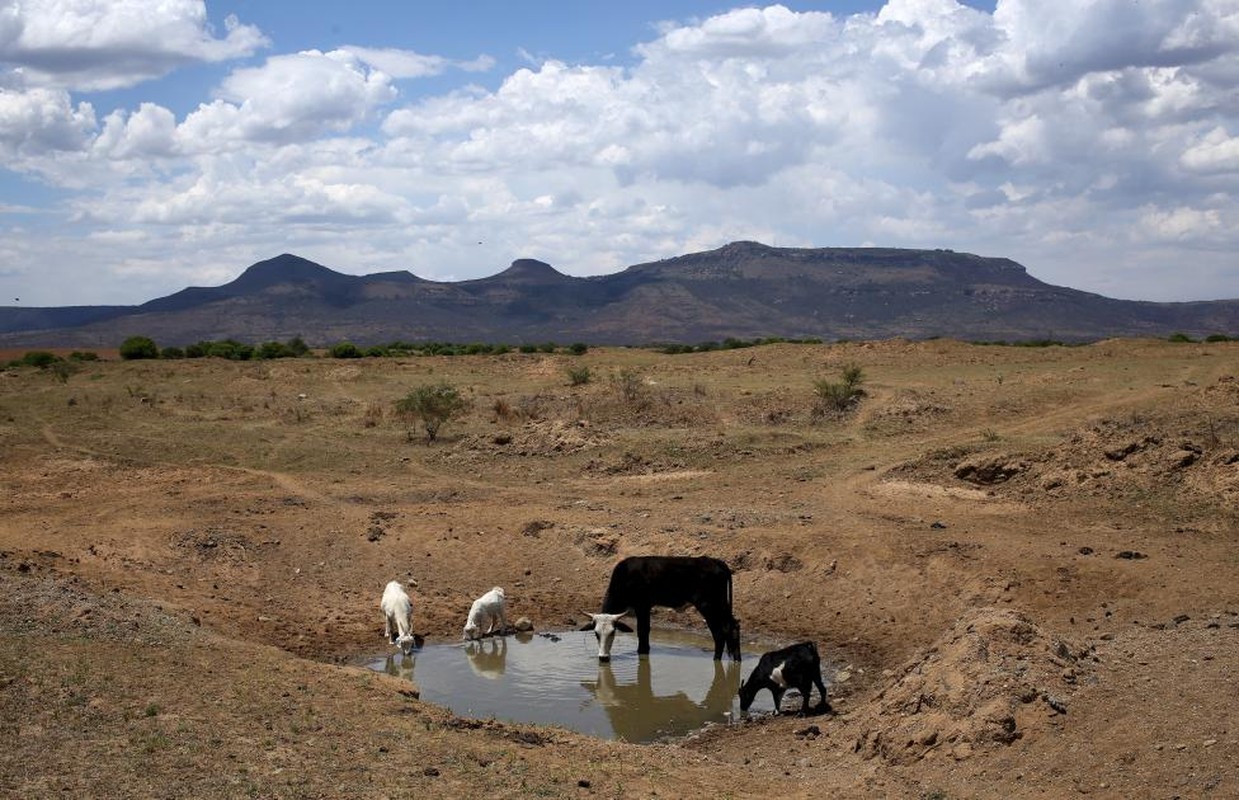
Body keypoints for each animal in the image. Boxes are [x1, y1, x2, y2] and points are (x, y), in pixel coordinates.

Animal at [577, 557, 733, 663]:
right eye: (596, 634)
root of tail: (715, 561)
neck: (626, 576)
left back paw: (716, 660)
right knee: (732, 628)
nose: (603, 658)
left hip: (708, 606)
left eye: (613, 632)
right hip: (721, 606)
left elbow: (643, 631)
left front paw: (642, 651)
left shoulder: (643, 606)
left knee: (720, 634)